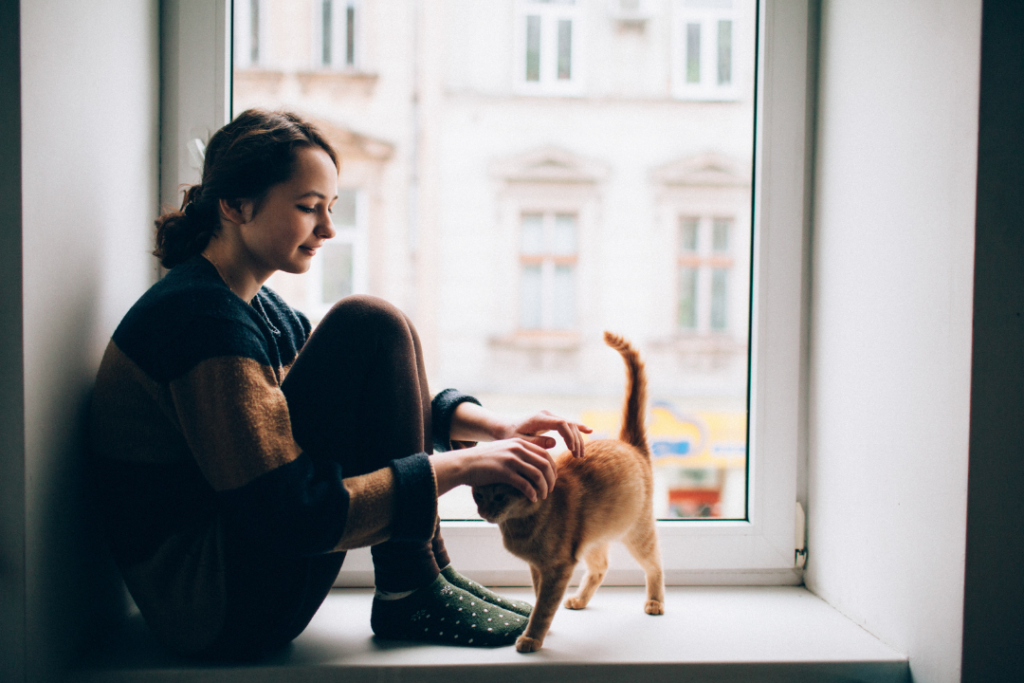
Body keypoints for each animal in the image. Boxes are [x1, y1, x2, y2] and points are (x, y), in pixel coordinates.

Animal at [471, 333, 663, 655]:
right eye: (478, 495)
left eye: (500, 496)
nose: (484, 512)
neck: (523, 523)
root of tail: (628, 443)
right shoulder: (539, 567)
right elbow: (540, 598)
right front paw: (543, 630)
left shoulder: (558, 567)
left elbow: (544, 606)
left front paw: (532, 637)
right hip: (593, 540)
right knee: (601, 568)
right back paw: (580, 600)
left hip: (638, 534)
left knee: (655, 565)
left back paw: (655, 602)